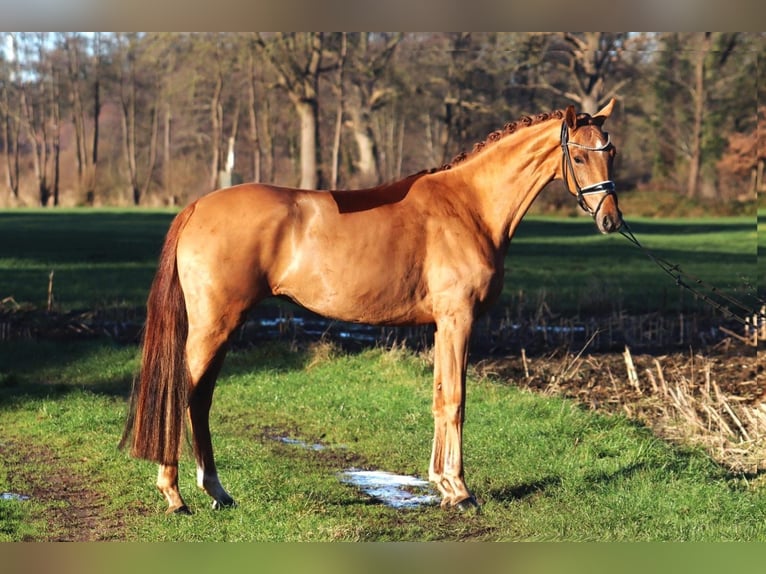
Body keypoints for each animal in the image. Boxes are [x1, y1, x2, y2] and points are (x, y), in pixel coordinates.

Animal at [120, 98, 624, 512]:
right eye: (579, 155)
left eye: (611, 152)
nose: (611, 220)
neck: (469, 207)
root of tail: (198, 206)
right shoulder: (458, 320)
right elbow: (456, 400)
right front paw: (461, 491)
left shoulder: (442, 325)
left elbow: (438, 397)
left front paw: (442, 484)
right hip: (214, 325)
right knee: (184, 394)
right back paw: (174, 495)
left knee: (200, 399)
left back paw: (216, 491)